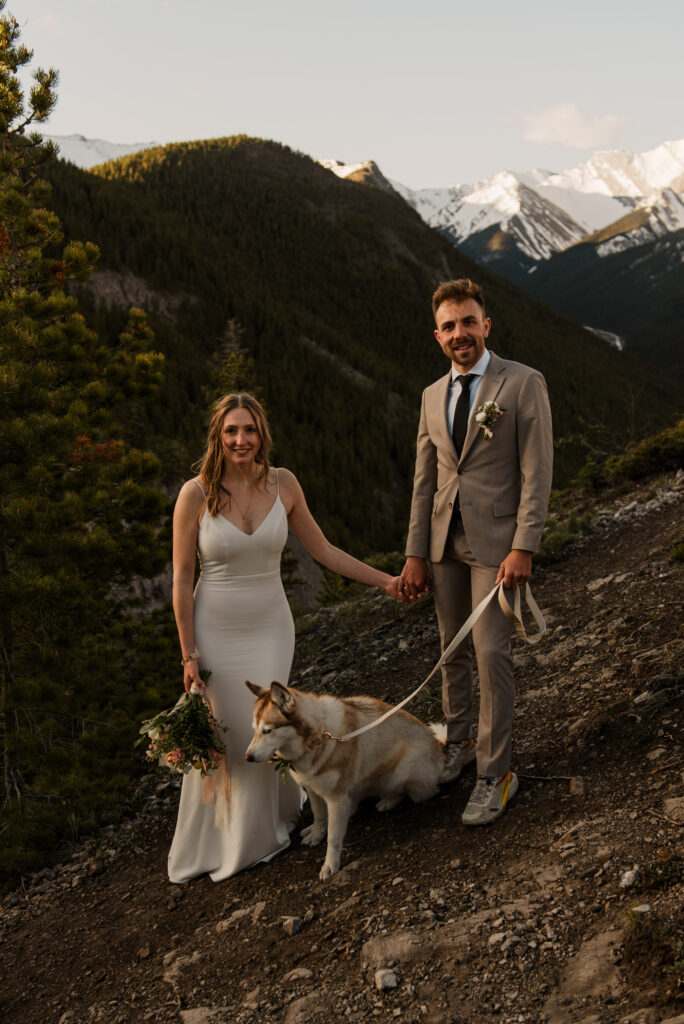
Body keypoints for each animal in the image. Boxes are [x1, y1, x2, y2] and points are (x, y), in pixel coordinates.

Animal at [242, 679, 446, 880]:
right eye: (254, 730)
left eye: (267, 731)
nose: (247, 757)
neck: (317, 738)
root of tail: (440, 748)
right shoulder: (312, 788)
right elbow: (318, 815)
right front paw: (316, 834)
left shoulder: (336, 798)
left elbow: (333, 837)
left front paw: (330, 865)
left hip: (402, 771)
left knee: (413, 791)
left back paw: (388, 801)